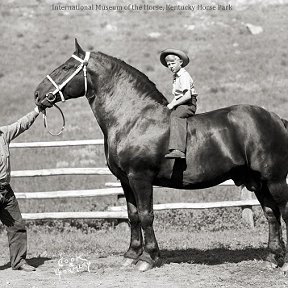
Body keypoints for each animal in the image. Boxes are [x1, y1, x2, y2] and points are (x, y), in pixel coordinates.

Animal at [34, 40, 288, 272]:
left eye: (67, 67)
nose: (38, 94)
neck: (133, 118)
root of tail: (276, 119)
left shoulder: (140, 178)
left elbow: (147, 215)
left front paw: (147, 258)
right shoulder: (125, 180)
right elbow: (133, 216)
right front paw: (131, 255)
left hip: (274, 180)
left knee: (282, 211)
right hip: (258, 183)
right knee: (271, 215)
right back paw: (273, 259)